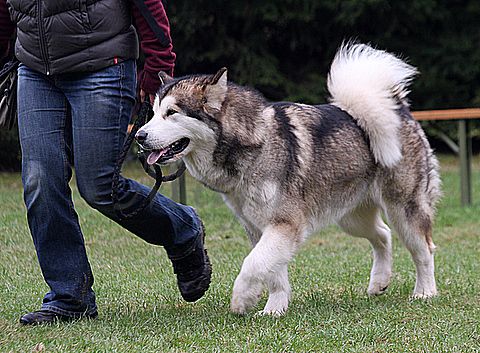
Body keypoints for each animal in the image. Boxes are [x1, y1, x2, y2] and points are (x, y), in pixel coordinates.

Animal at [135, 42, 438, 314]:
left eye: (171, 113)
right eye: (154, 113)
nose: (139, 136)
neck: (255, 145)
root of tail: (399, 109)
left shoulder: (285, 224)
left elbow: (253, 264)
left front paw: (242, 298)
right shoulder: (262, 228)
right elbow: (272, 272)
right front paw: (274, 309)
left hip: (403, 210)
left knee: (424, 250)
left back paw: (425, 292)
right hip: (352, 217)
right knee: (383, 235)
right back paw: (379, 283)